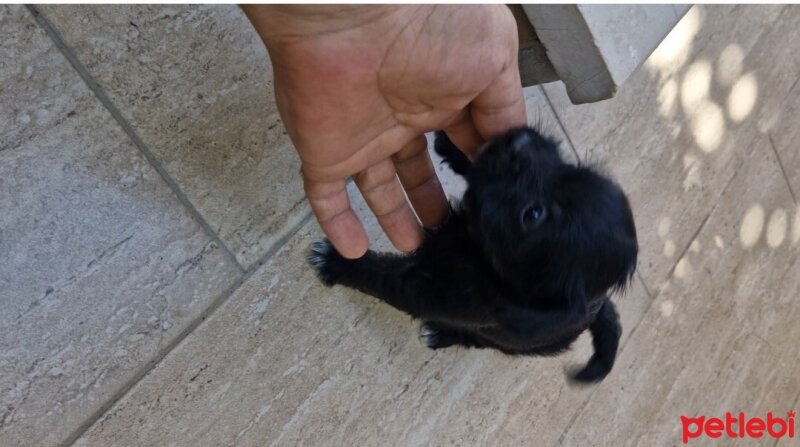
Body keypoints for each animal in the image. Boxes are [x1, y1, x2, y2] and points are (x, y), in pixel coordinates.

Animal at [306, 127, 636, 384]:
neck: (480, 250)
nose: (519, 141)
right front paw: (455, 146)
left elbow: (385, 279)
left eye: (534, 214)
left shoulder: (432, 289)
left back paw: (439, 335)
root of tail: (600, 305)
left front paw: (337, 263)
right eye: (573, 168)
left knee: (475, 340)